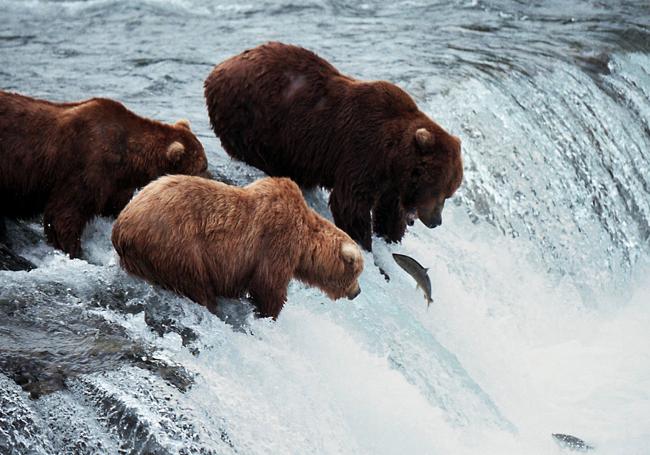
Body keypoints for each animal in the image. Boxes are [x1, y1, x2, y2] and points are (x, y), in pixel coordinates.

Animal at [0, 90, 208, 260]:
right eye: (201, 168)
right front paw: (74, 251)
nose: (211, 178)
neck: (127, 160)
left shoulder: (116, 184)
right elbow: (64, 214)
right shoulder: (87, 165)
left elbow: (115, 208)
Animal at [112, 175, 364, 320]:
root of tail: (121, 226)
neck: (305, 245)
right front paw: (269, 313)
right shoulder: (278, 242)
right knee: (196, 282)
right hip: (175, 244)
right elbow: (268, 285)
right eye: (356, 272)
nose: (358, 291)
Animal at [202, 41, 460, 253]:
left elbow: (389, 209)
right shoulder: (362, 151)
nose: (436, 221)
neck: (393, 157)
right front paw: (364, 242)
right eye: (437, 190)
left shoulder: (391, 181)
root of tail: (219, 67)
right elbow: (350, 202)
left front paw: (390, 235)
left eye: (449, 192)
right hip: (253, 116)